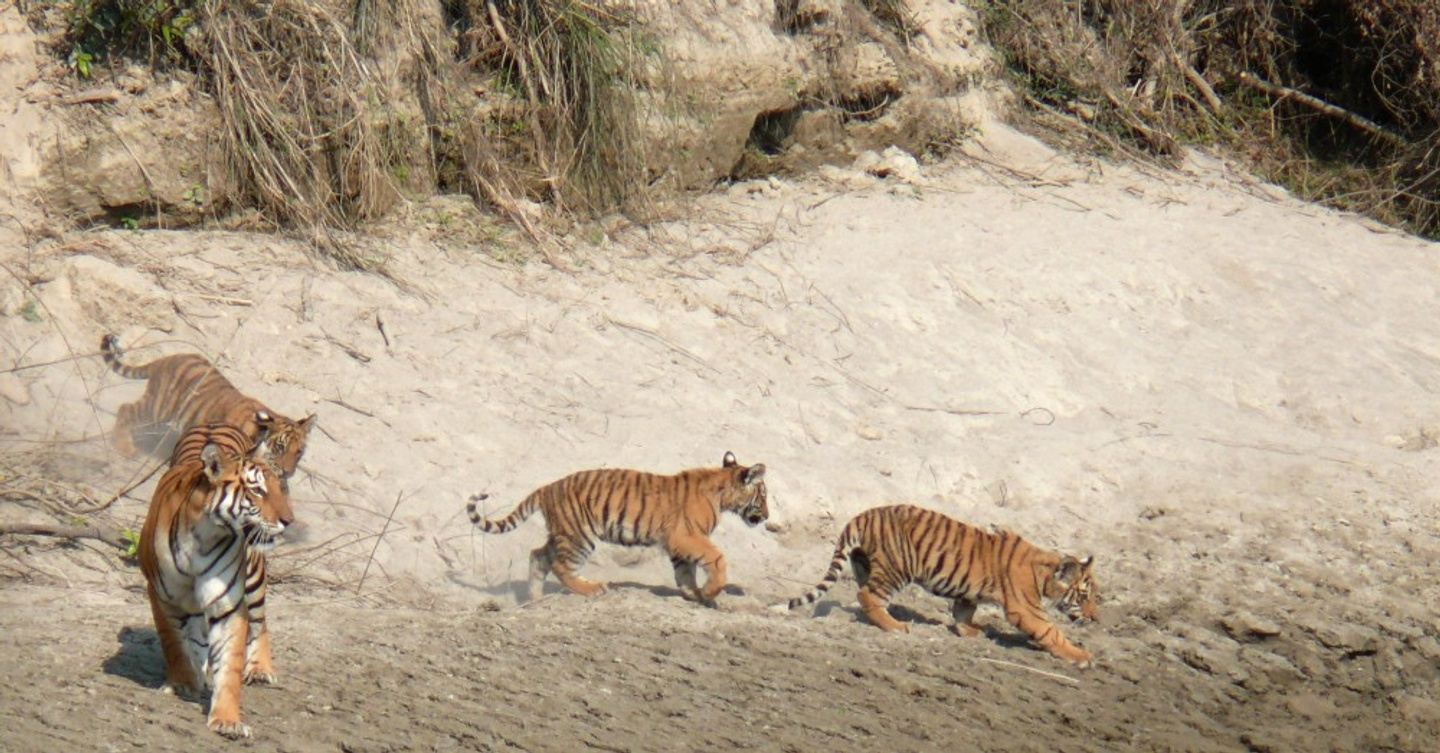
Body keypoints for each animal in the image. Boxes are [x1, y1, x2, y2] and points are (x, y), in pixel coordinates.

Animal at [100, 336, 315, 483]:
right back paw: (124, 446)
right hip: (158, 408)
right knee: (126, 409)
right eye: (279, 448)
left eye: (299, 452)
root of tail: (167, 359)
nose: (287, 473)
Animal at [141, 420, 296, 737]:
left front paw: (227, 719)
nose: (289, 521)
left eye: (279, 488)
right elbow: (173, 642)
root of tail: (216, 422)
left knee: (260, 622)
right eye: (258, 490)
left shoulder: (228, 605)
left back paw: (260, 669)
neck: (205, 534)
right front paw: (183, 683)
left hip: (254, 575)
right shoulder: (161, 595)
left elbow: (230, 664)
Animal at [466, 454, 771, 607]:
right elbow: (717, 558)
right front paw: (710, 591)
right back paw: (593, 589)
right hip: (580, 537)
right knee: (561, 567)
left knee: (538, 556)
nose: (767, 516)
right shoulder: (687, 536)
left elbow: (686, 573)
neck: (723, 493)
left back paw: (535, 599)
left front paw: (695, 594)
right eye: (764, 495)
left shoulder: (678, 543)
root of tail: (547, 488)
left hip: (562, 533)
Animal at [783, 506, 1094, 665]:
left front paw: (970, 631)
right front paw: (1081, 656)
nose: (1095, 618)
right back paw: (896, 626)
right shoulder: (1026, 609)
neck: (1044, 573)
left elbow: (963, 611)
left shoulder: (969, 592)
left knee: (864, 595)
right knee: (867, 595)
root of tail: (862, 515)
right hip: (897, 568)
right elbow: (1051, 631)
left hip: (866, 564)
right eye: (1084, 596)